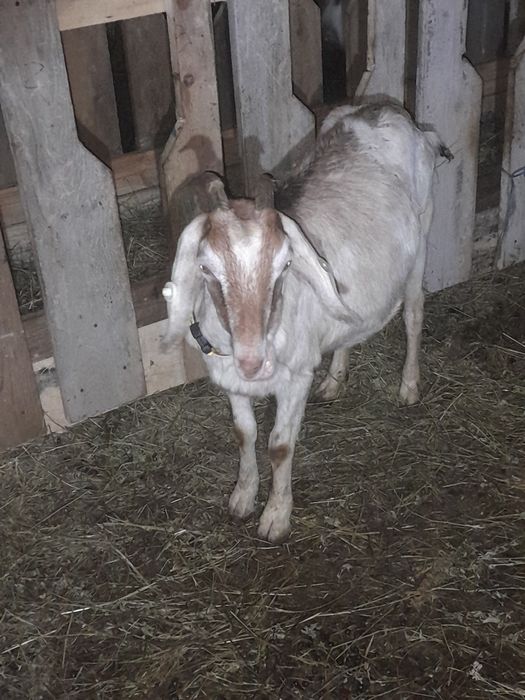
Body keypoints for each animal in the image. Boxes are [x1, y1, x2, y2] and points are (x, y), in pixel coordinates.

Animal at [163, 103, 443, 543]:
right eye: (205, 267)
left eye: (285, 264)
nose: (253, 361)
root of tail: (384, 109)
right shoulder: (231, 381)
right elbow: (244, 433)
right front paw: (242, 499)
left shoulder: (295, 379)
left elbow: (279, 446)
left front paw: (275, 519)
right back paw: (334, 380)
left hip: (422, 241)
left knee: (414, 313)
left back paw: (409, 387)